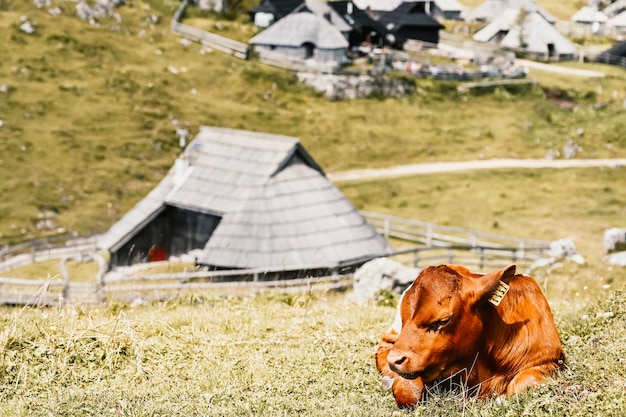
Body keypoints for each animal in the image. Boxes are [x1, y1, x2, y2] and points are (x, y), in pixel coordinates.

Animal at [376, 264, 564, 406]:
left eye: (443, 320)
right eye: (404, 318)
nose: (394, 360)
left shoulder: (551, 361)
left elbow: (521, 383)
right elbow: (410, 391)